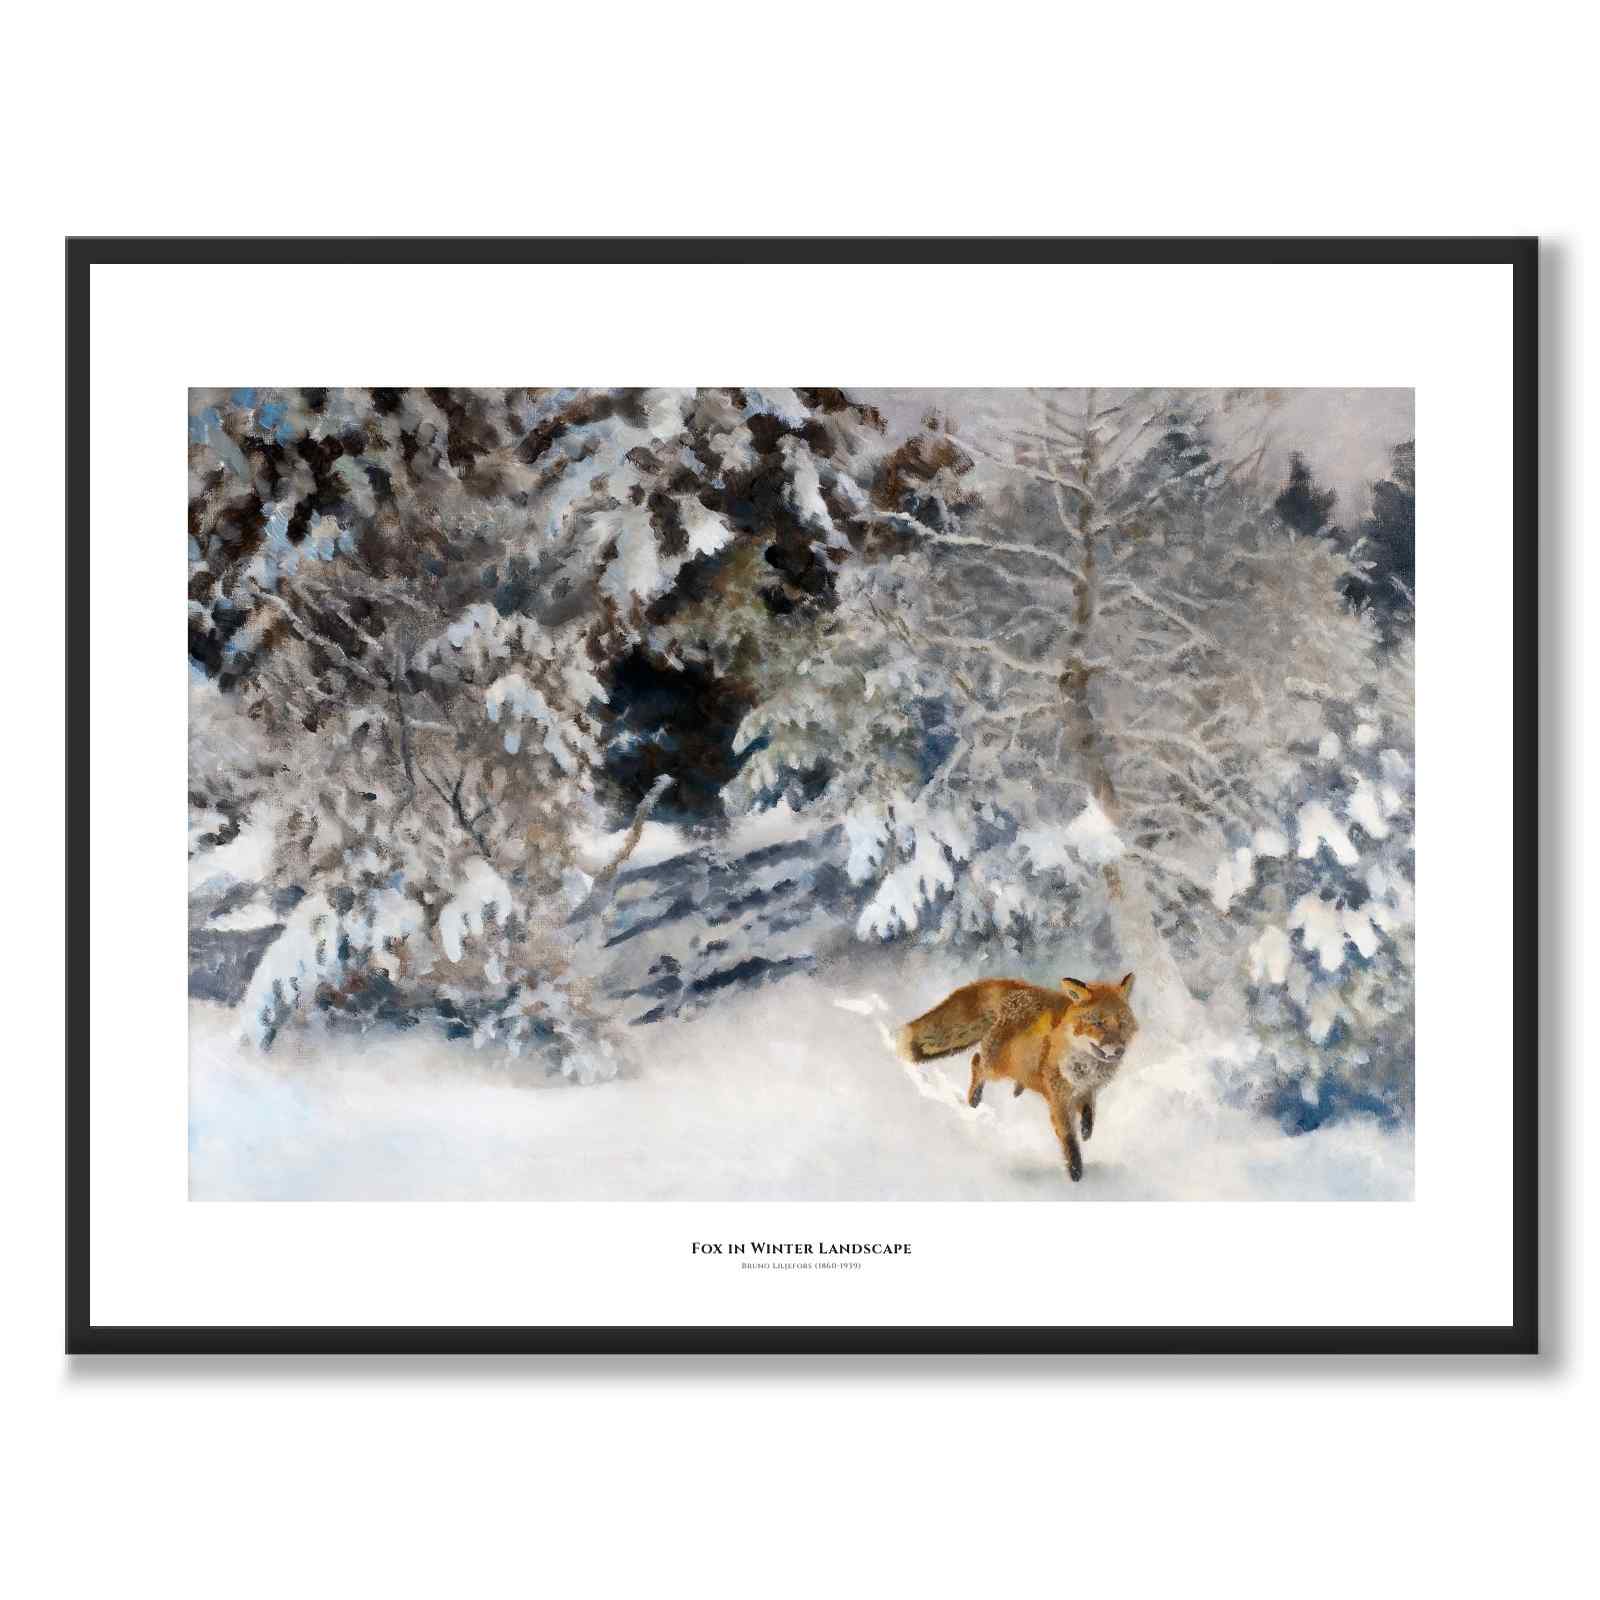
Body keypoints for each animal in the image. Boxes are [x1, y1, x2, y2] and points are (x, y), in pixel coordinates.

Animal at [896, 974, 1138, 1183]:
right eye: (1098, 1023)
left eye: (1122, 1023)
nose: (1119, 1050)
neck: (1085, 1068)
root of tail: (1017, 988)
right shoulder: (1058, 1098)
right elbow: (1069, 1139)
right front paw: (1076, 1172)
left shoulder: (1088, 1090)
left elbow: (1089, 1112)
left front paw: (1087, 1131)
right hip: (996, 1067)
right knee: (976, 1062)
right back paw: (974, 1098)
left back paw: (1017, 1088)